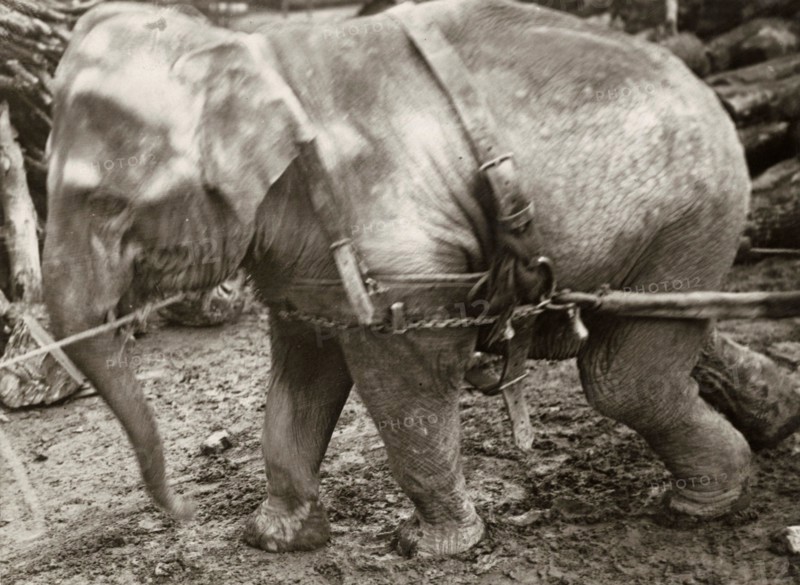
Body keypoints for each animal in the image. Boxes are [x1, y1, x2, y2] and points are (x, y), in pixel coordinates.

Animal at [44, 0, 752, 557]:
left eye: (106, 204)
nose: (183, 515)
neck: (252, 50)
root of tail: (701, 83)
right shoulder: (309, 258)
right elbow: (303, 369)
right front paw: (276, 540)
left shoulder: (401, 254)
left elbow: (404, 384)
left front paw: (431, 547)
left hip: (689, 209)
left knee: (621, 375)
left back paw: (701, 505)